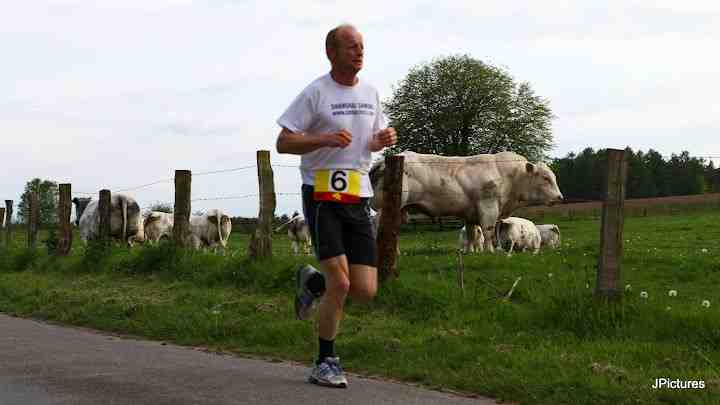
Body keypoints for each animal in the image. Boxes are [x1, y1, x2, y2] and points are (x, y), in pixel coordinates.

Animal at [372, 150, 564, 251]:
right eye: (546, 178)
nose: (559, 197)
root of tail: (383, 162)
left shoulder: (470, 214)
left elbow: (472, 234)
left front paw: (472, 252)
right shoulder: (488, 207)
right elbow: (488, 231)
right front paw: (491, 251)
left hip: (399, 210)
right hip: (384, 207)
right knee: (377, 227)